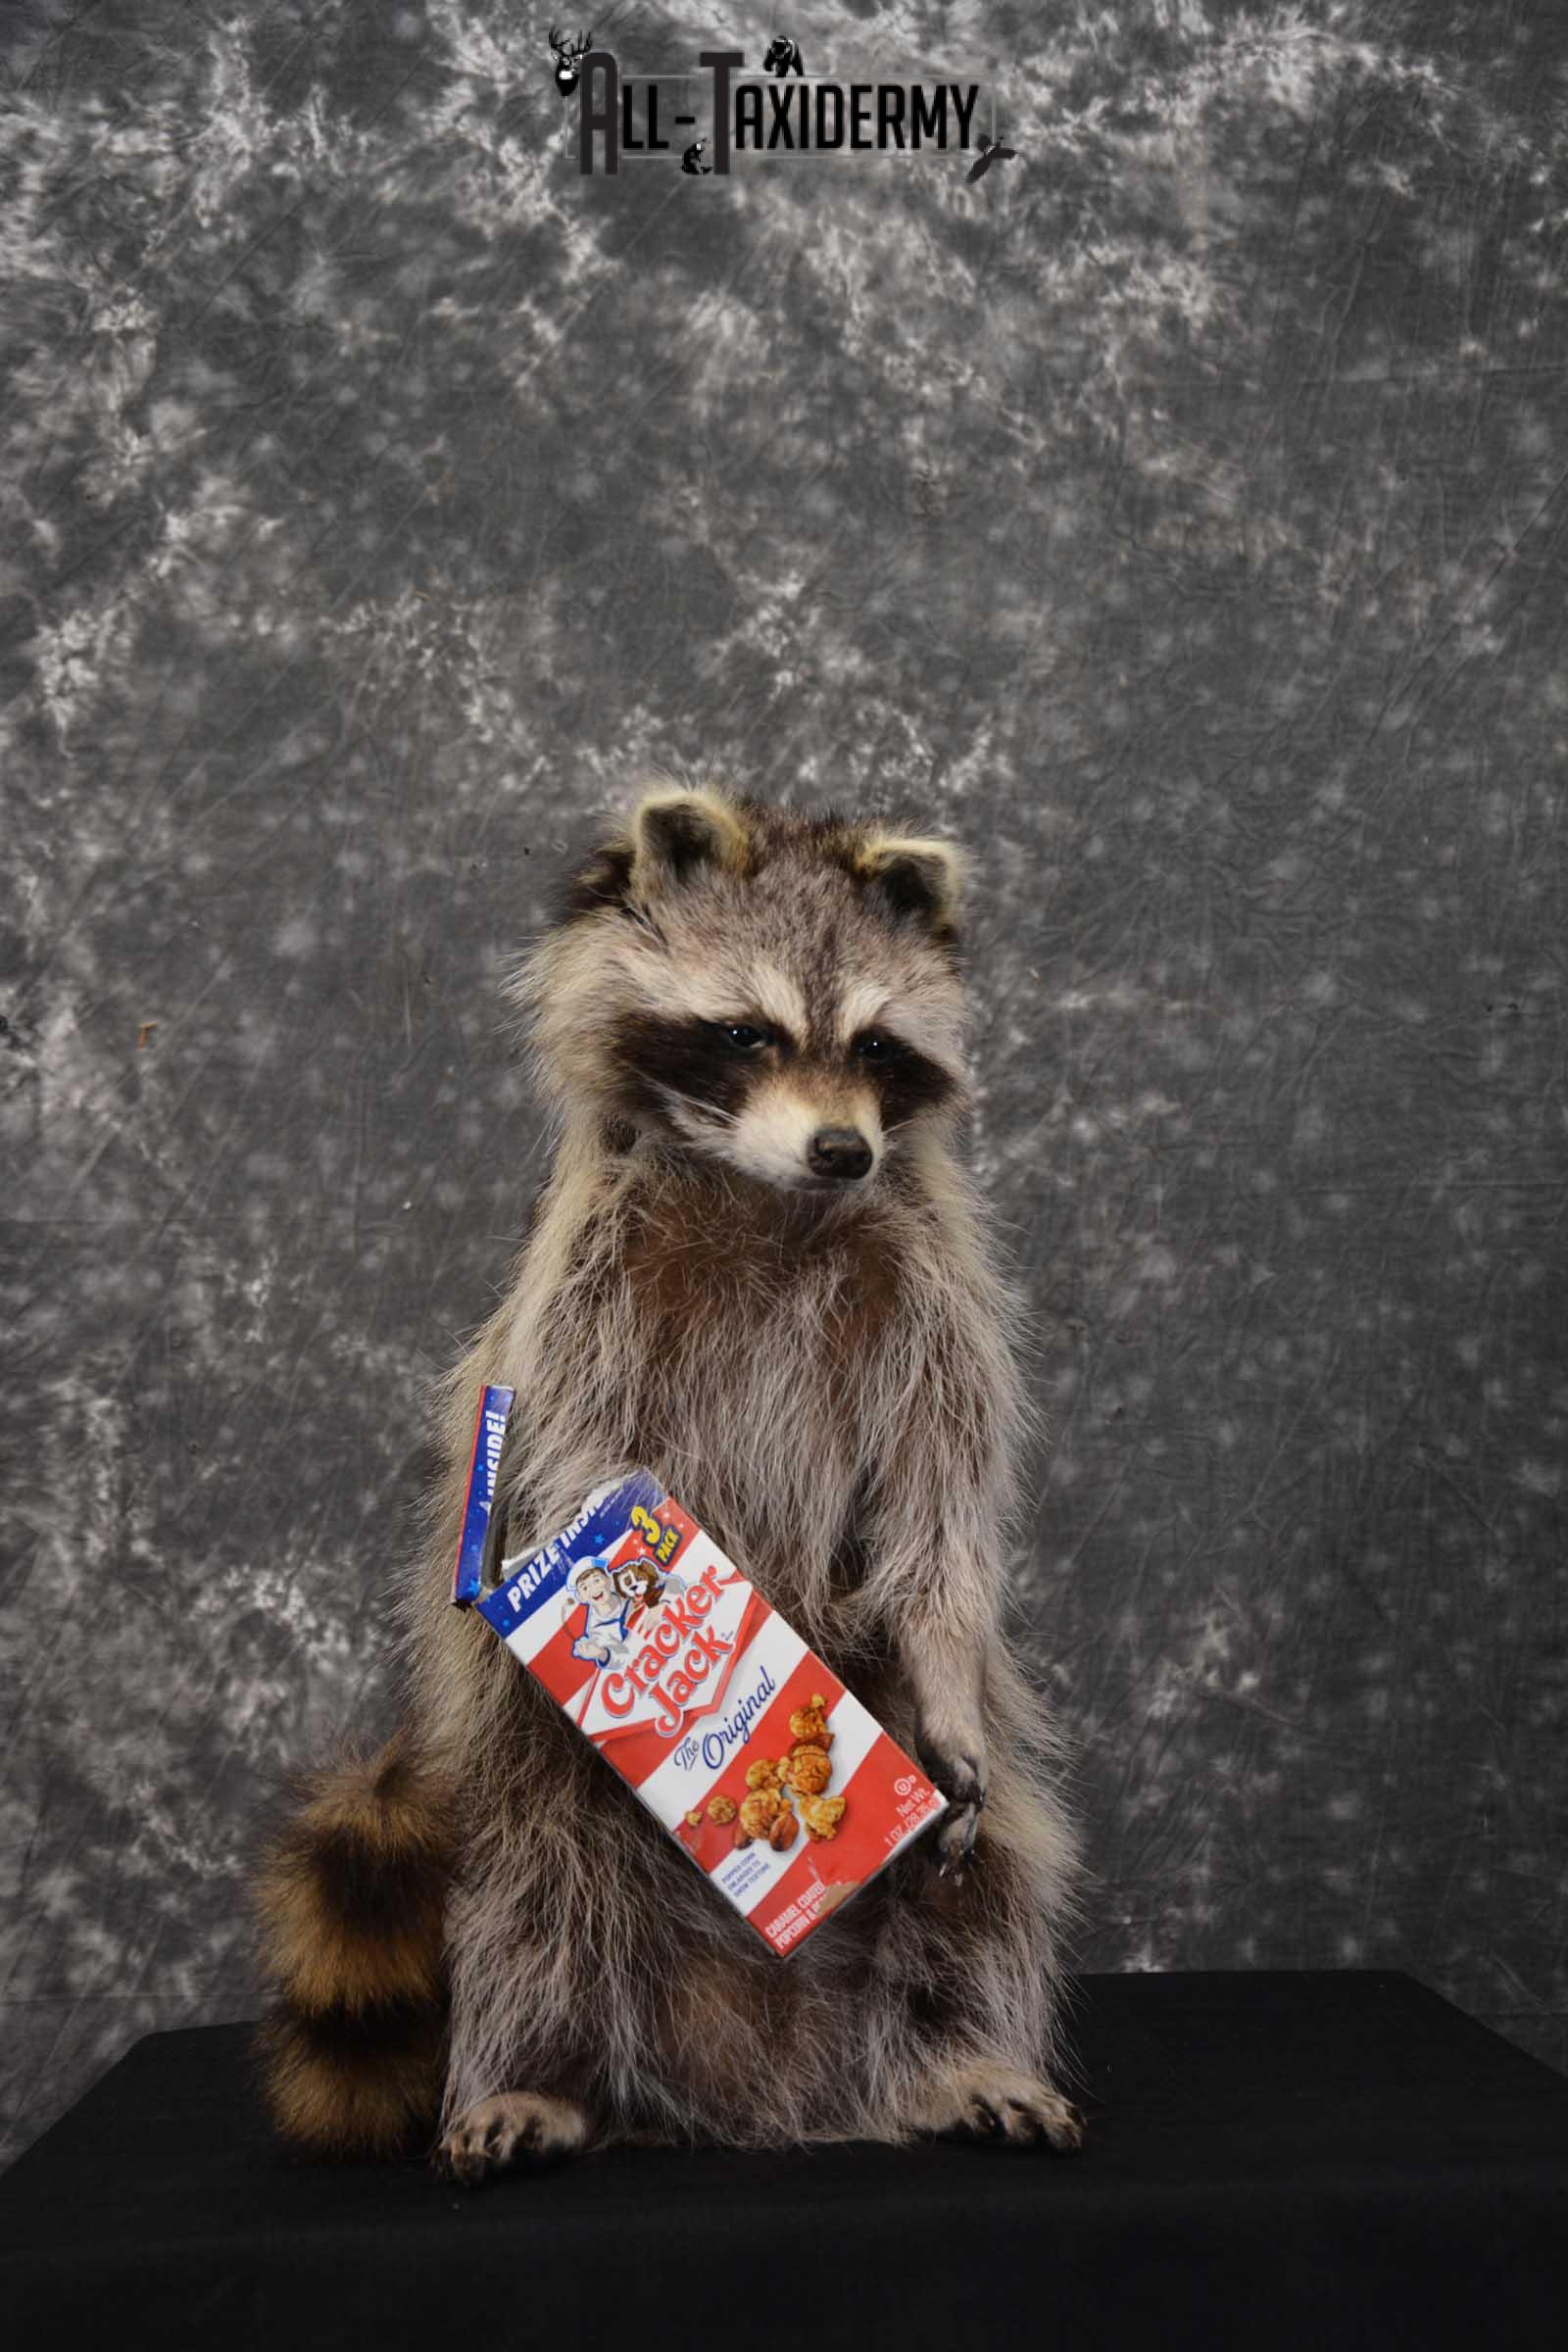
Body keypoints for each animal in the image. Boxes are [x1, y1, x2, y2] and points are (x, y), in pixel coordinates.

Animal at [255, 785, 1082, 2174]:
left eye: (873, 1044)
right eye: (746, 1033)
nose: (842, 1150)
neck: (770, 1195)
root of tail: (759, 2094)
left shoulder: (931, 1290)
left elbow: (936, 1515)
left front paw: (946, 1664)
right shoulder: (595, 1280)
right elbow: (580, 1467)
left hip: (945, 1840)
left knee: (988, 1892)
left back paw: (956, 2056)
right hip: (527, 1775)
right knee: (532, 1893)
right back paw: (543, 2076)